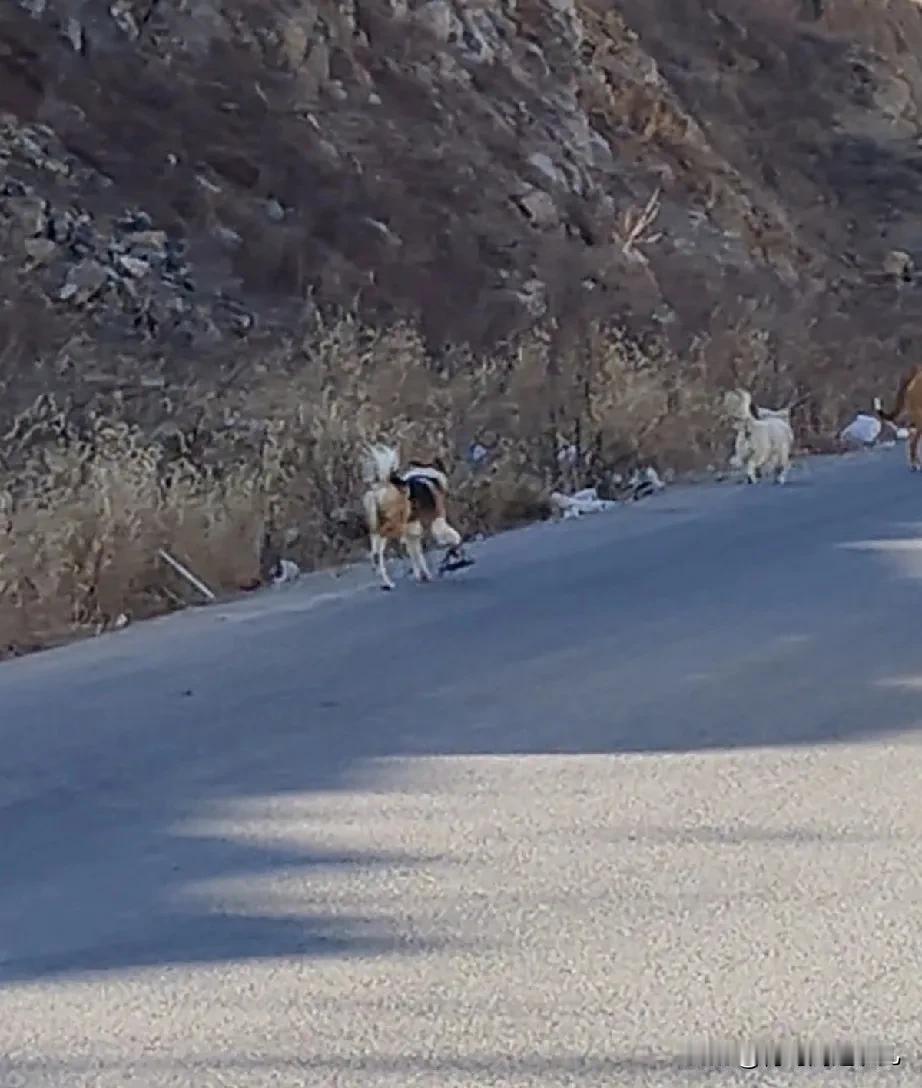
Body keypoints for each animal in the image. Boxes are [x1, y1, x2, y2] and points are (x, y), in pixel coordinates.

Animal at [359, 441, 461, 591]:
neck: (427, 473)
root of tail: (383, 486)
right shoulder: (437, 522)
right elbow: (455, 537)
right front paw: (453, 548)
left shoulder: (411, 534)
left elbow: (416, 556)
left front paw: (423, 575)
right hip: (392, 525)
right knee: (380, 549)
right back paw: (388, 581)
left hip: (376, 528)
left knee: (375, 554)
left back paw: (385, 581)